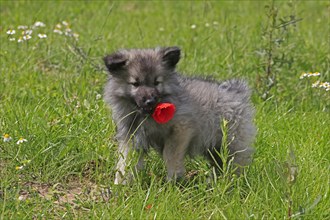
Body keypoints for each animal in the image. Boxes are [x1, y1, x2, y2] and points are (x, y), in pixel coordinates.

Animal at [103, 46, 255, 184]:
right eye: (135, 83)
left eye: (157, 82)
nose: (150, 101)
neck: (148, 117)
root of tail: (238, 92)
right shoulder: (132, 136)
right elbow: (125, 162)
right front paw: (119, 186)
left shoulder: (181, 130)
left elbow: (170, 155)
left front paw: (173, 181)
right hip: (215, 147)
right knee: (219, 164)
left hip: (230, 143)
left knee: (235, 162)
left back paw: (232, 183)